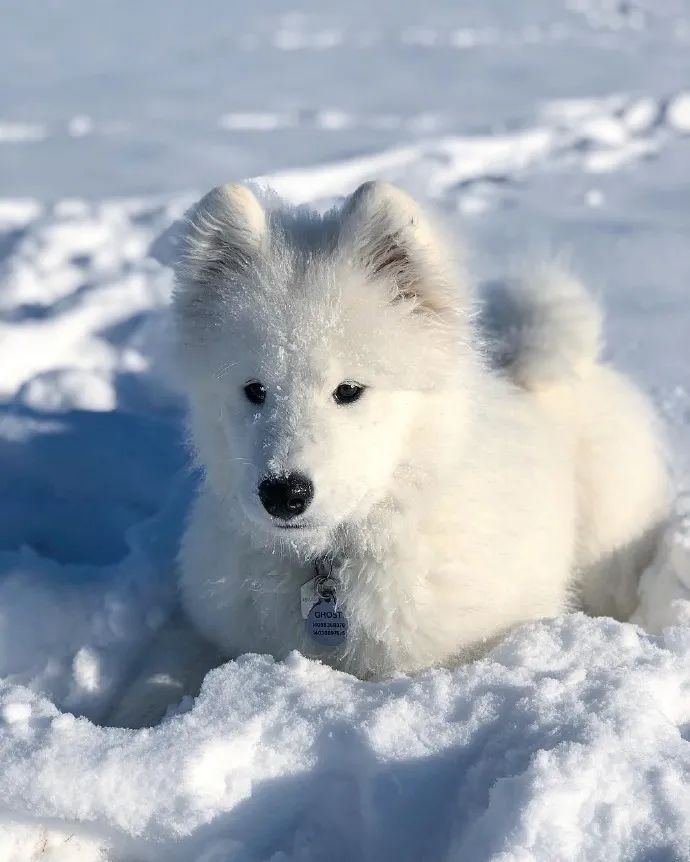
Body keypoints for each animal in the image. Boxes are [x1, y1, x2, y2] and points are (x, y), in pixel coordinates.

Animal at [107, 182, 668, 728]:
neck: (328, 562)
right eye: (254, 390)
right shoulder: (212, 624)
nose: (283, 493)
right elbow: (159, 677)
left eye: (349, 390)